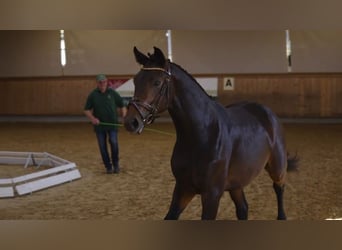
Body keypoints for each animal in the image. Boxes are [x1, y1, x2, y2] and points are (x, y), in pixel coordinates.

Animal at [124, 46, 298, 219]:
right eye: (135, 80)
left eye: (157, 82)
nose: (131, 122)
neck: (202, 134)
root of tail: (267, 113)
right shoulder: (183, 188)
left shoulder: (212, 195)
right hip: (236, 183)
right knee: (243, 208)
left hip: (277, 168)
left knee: (279, 188)